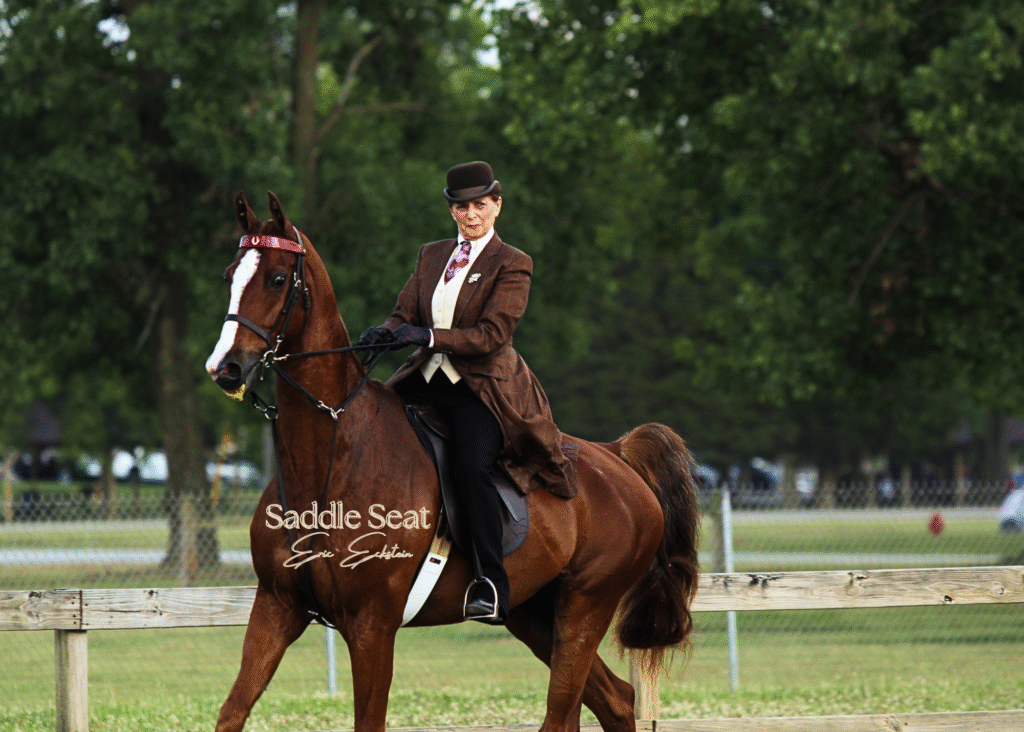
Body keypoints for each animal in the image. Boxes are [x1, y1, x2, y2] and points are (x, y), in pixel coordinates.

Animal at [205, 191, 701, 732]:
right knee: (614, 700)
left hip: (584, 607)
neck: (333, 454)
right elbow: (232, 711)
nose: (225, 368)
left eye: (277, 279)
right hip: (533, 613)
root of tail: (615, 456)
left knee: (566, 708)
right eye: (229, 275)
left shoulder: (372, 624)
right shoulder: (276, 606)